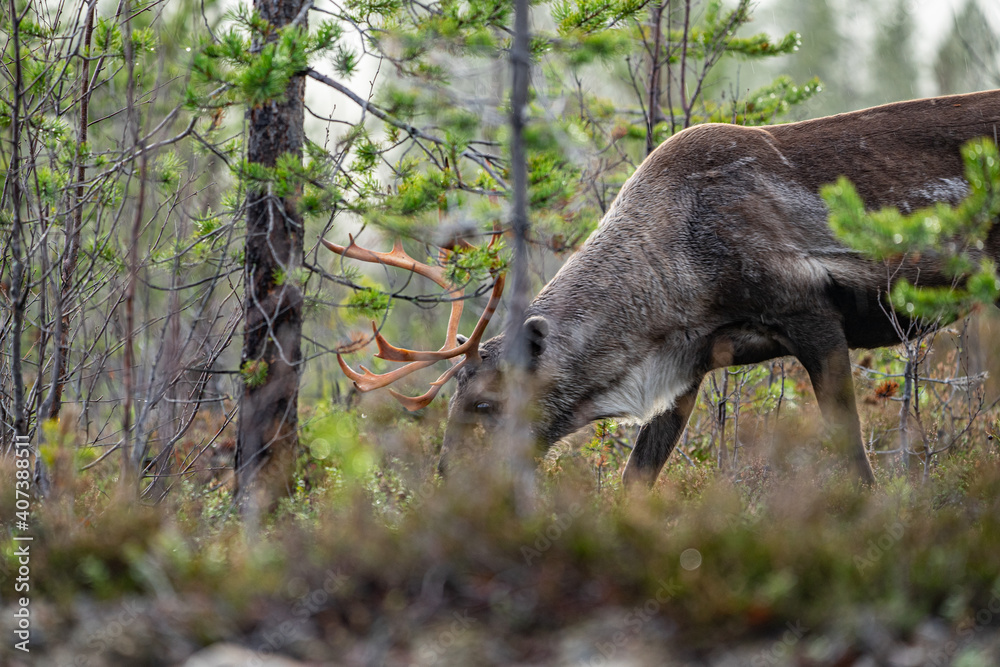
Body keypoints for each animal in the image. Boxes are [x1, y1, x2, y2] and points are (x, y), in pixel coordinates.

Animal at [325, 89, 1000, 488]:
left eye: (486, 403)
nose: (447, 475)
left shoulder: (812, 316)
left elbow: (854, 463)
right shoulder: (691, 362)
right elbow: (636, 481)